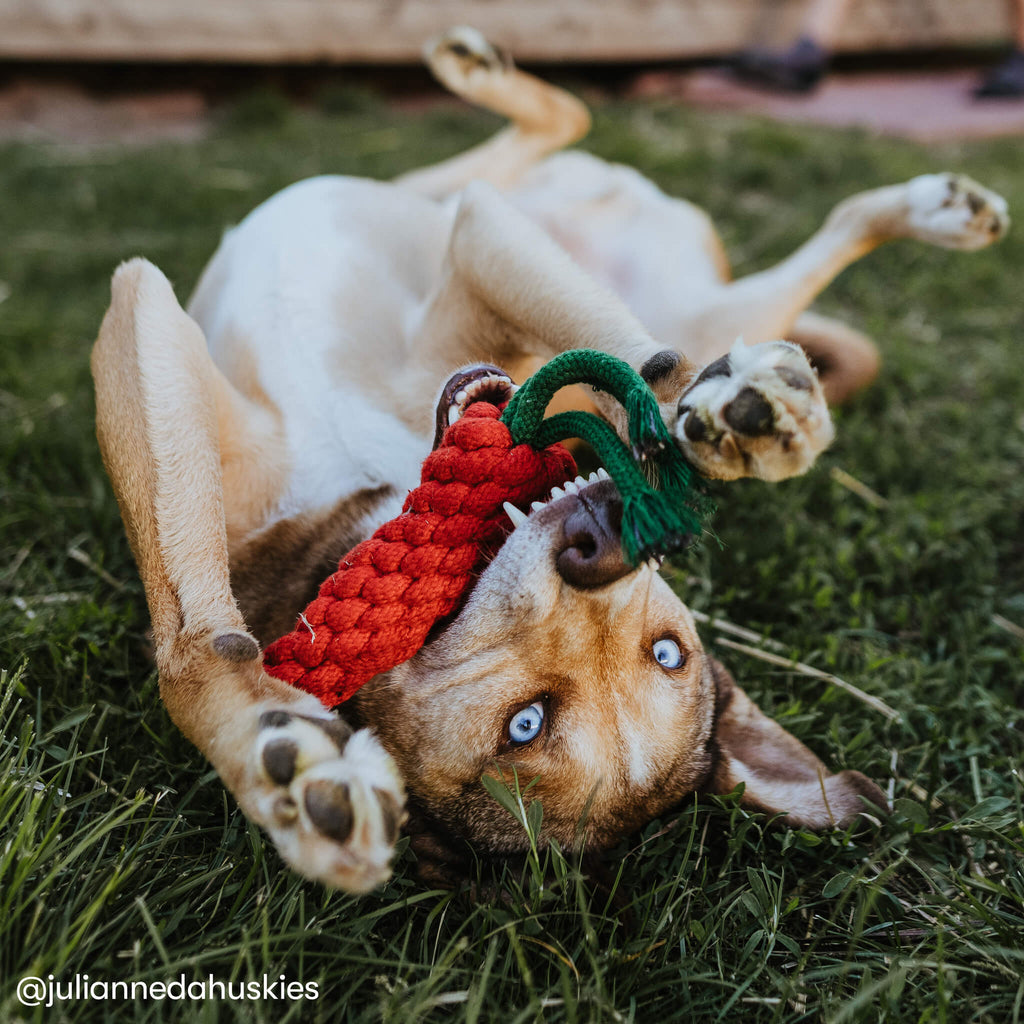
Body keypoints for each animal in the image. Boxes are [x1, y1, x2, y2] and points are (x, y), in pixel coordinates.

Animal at [90, 28, 1007, 892]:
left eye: (524, 725)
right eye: (670, 650)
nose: (602, 538)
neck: (367, 484)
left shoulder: (155, 322)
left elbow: (181, 653)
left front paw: (272, 758)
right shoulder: (467, 246)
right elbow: (652, 362)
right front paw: (729, 408)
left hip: (679, 289)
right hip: (597, 260)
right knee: (565, 146)